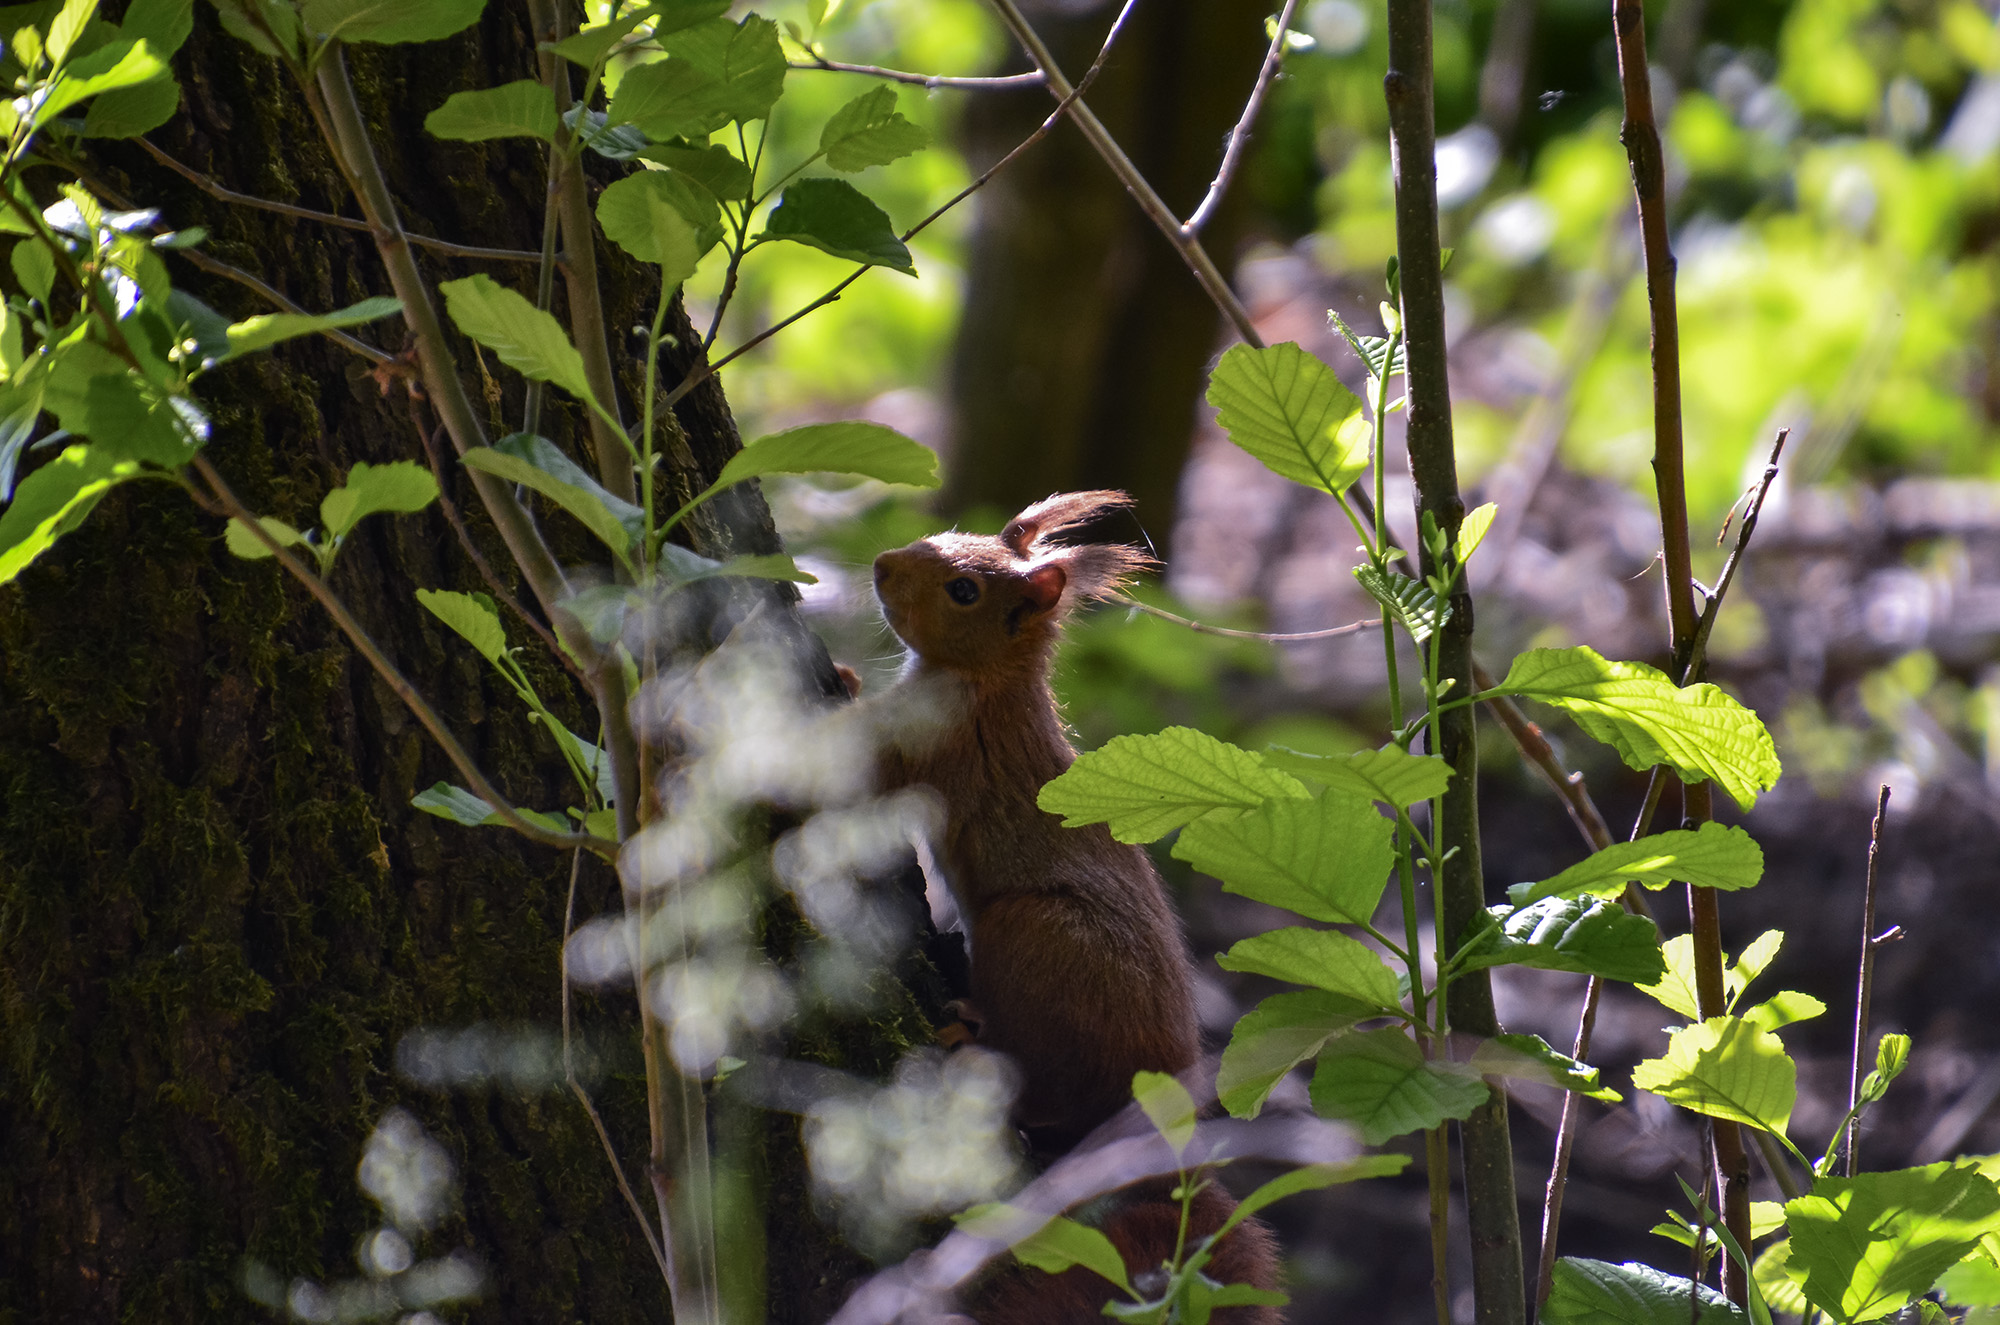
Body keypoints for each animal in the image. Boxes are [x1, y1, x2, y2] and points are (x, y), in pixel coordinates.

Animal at [861, 491, 1281, 1322]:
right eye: (946, 533)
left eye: (965, 590)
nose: (882, 566)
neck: (988, 680)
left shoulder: (931, 743)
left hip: (1033, 932)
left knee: (1045, 1089)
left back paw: (973, 1035)